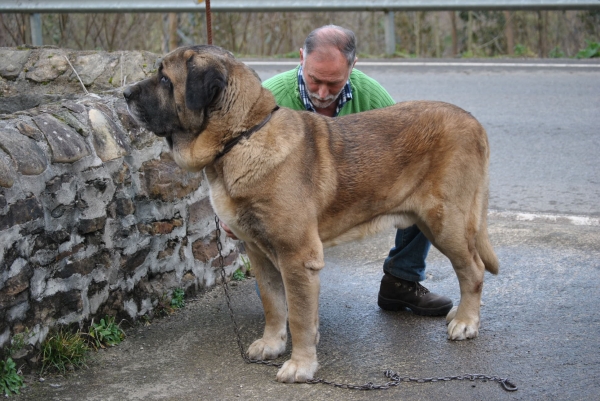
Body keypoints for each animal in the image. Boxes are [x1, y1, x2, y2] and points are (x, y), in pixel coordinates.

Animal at [122, 45, 496, 382]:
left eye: (165, 79)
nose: (124, 93)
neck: (241, 137)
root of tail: (474, 122)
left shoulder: (296, 257)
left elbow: (300, 317)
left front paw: (300, 365)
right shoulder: (259, 253)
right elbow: (274, 305)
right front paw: (272, 344)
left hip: (445, 222)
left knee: (474, 270)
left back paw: (466, 322)